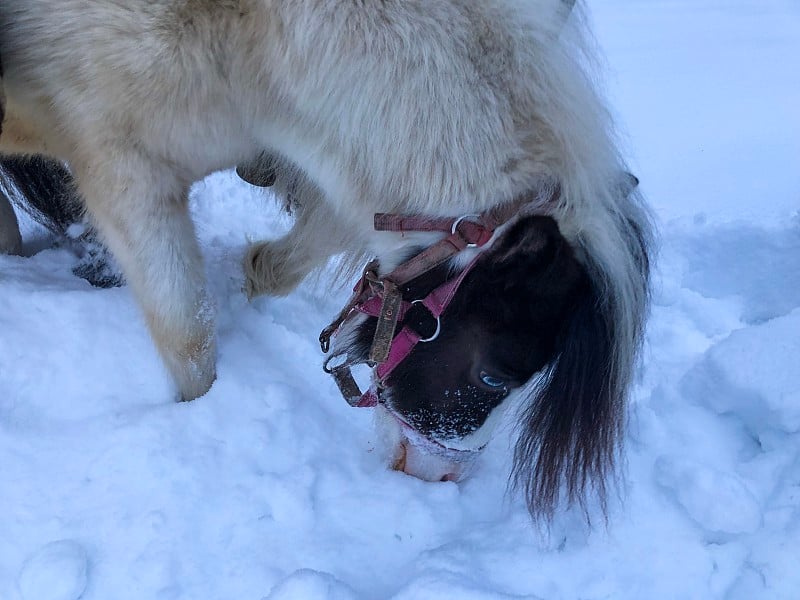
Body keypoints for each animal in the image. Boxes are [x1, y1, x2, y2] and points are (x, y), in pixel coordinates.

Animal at [0, 1, 648, 520]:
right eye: (494, 376)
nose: (442, 477)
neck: (248, 39)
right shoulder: (126, 173)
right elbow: (191, 342)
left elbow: (288, 260)